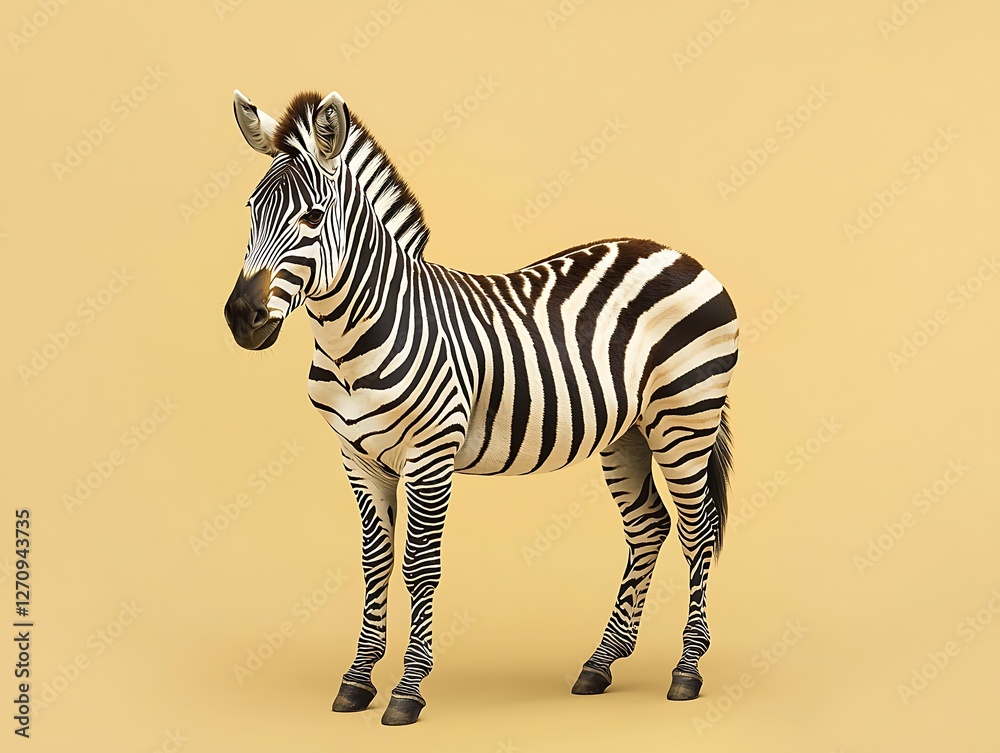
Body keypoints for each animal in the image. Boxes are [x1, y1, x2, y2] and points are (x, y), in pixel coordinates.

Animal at [224, 89, 739, 726]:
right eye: (250, 210)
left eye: (314, 218)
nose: (241, 319)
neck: (356, 333)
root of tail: (674, 251)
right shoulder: (358, 457)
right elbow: (376, 562)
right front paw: (358, 680)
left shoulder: (431, 451)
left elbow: (420, 565)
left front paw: (407, 691)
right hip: (629, 431)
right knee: (650, 526)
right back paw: (600, 664)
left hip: (685, 416)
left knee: (700, 529)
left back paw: (687, 671)